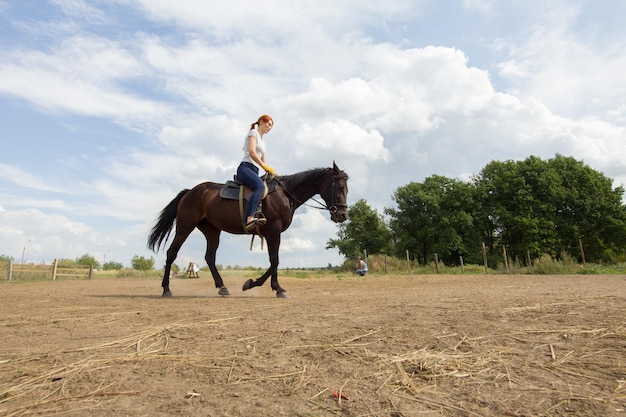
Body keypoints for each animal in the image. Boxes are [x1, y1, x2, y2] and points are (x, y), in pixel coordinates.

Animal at [148, 162, 348, 296]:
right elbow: (274, 260)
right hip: (185, 227)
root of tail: (190, 192)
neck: (285, 194)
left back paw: (222, 287)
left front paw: (251, 283)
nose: (342, 215)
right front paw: (278, 288)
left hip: (212, 231)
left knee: (210, 257)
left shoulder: (273, 233)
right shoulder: (273, 231)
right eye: (339, 186)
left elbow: (273, 262)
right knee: (171, 253)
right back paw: (166, 289)